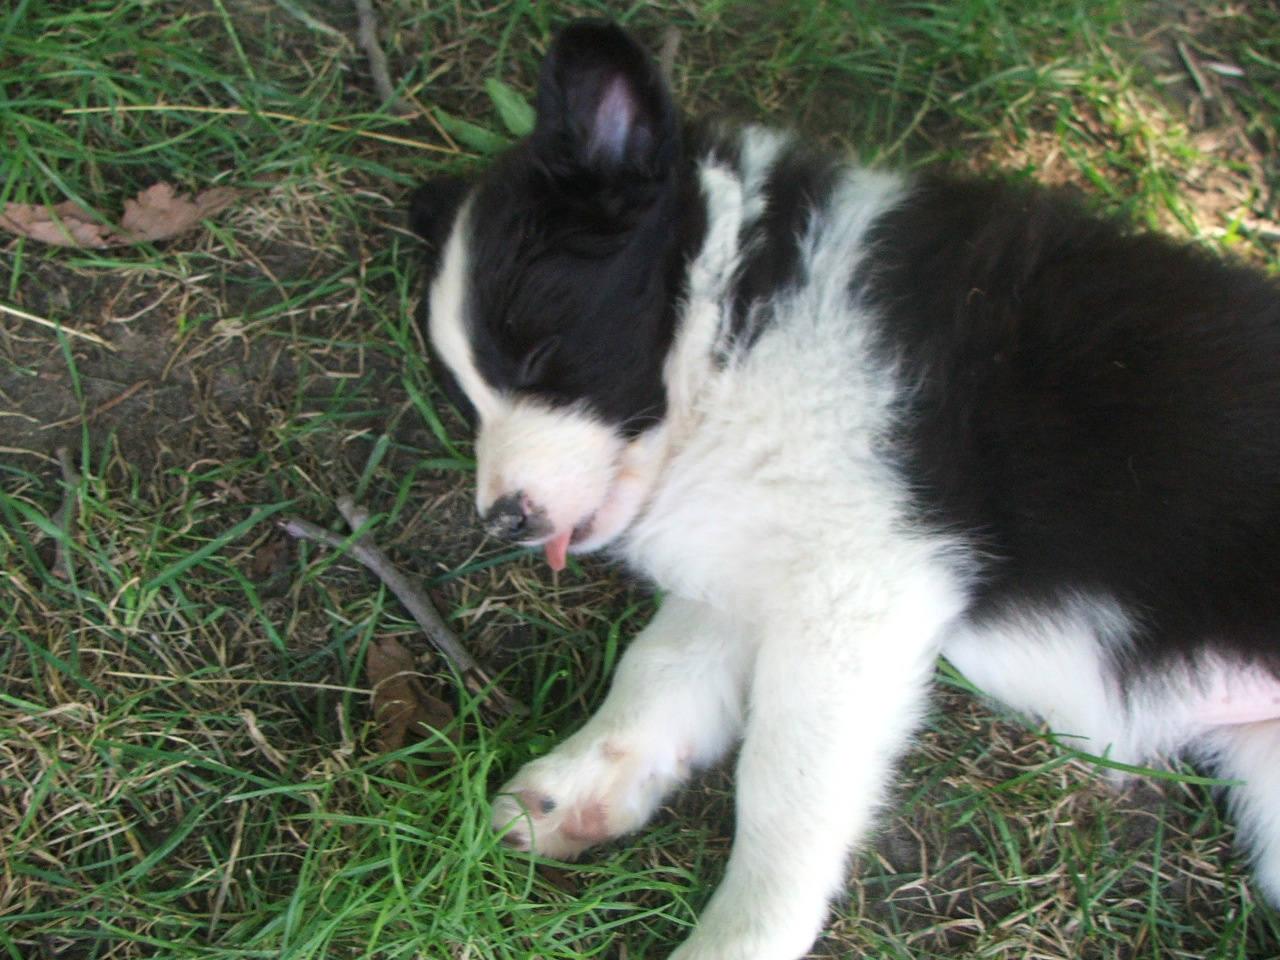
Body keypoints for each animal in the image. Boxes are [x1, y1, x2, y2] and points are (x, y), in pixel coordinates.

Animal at [409, 16, 1280, 960]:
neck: (741, 318)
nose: (503, 520)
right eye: (464, 397)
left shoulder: (860, 584)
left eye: (538, 354)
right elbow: (662, 666)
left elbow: (784, 786)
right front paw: (574, 790)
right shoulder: (762, 560)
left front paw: (741, 938)